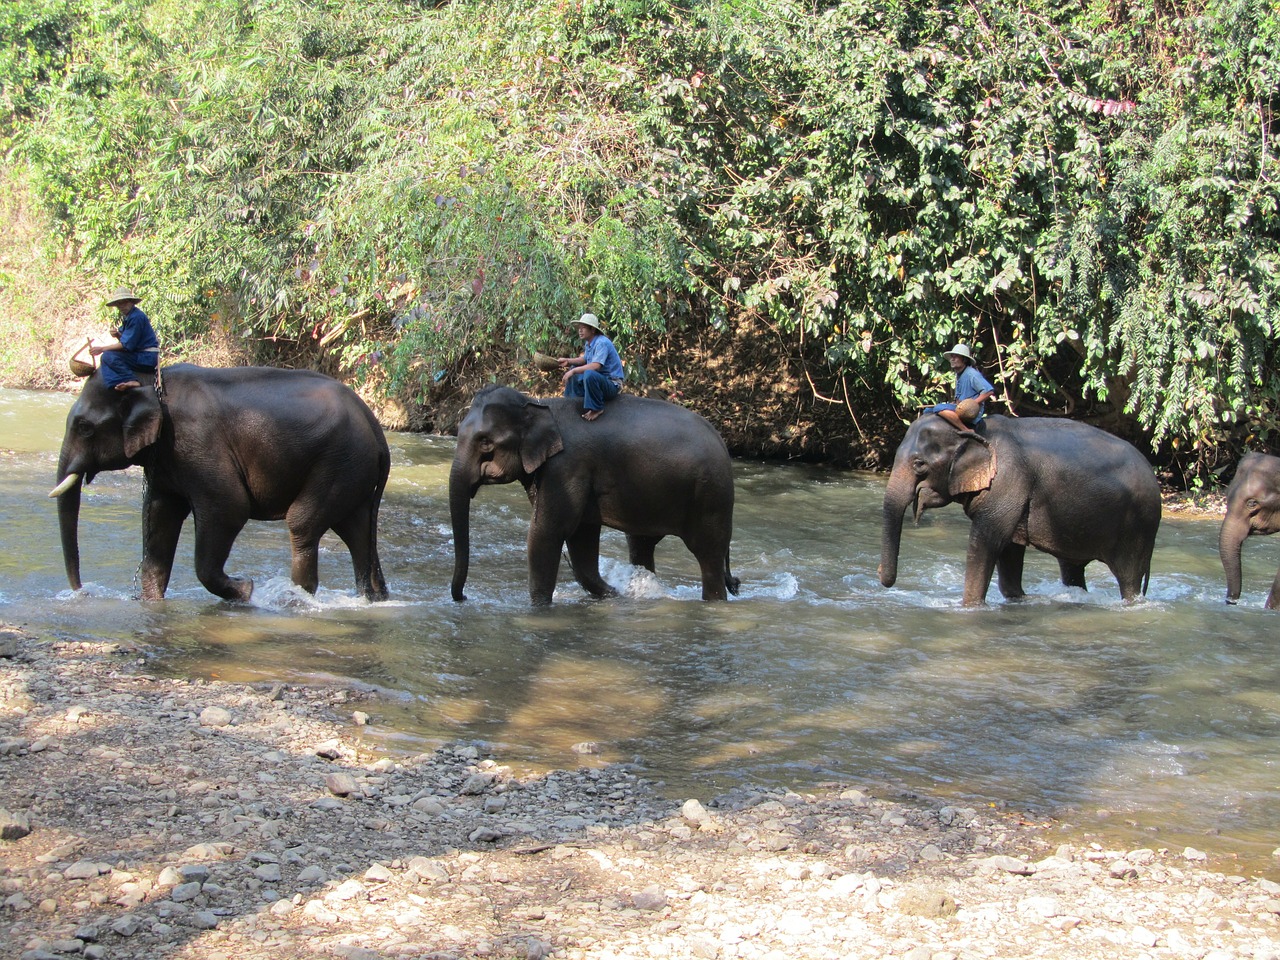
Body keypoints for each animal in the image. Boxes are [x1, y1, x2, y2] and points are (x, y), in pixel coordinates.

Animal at [49, 366, 389, 601]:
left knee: (303, 524)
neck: (152, 381)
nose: (83, 591)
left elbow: (229, 508)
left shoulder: (198, 444)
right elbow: (159, 518)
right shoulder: (167, 463)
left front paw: (246, 590)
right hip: (352, 471)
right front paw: (151, 602)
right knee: (355, 530)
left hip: (340, 461)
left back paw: (295, 600)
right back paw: (371, 599)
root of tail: (376, 426)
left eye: (85, 427)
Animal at [448, 381, 737, 601]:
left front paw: (538, 608)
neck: (537, 404)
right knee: (641, 545)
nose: (464, 596)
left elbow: (548, 532)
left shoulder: (567, 467)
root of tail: (723, 442)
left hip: (712, 496)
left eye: (485, 442)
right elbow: (581, 537)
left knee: (708, 556)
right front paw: (614, 595)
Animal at [880, 414, 1162, 609]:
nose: (884, 578)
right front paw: (1019, 600)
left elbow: (988, 542)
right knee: (1072, 568)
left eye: (919, 464)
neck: (973, 431)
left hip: (1137, 526)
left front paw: (969, 607)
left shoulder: (1008, 482)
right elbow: (1009, 550)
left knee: (1128, 578)